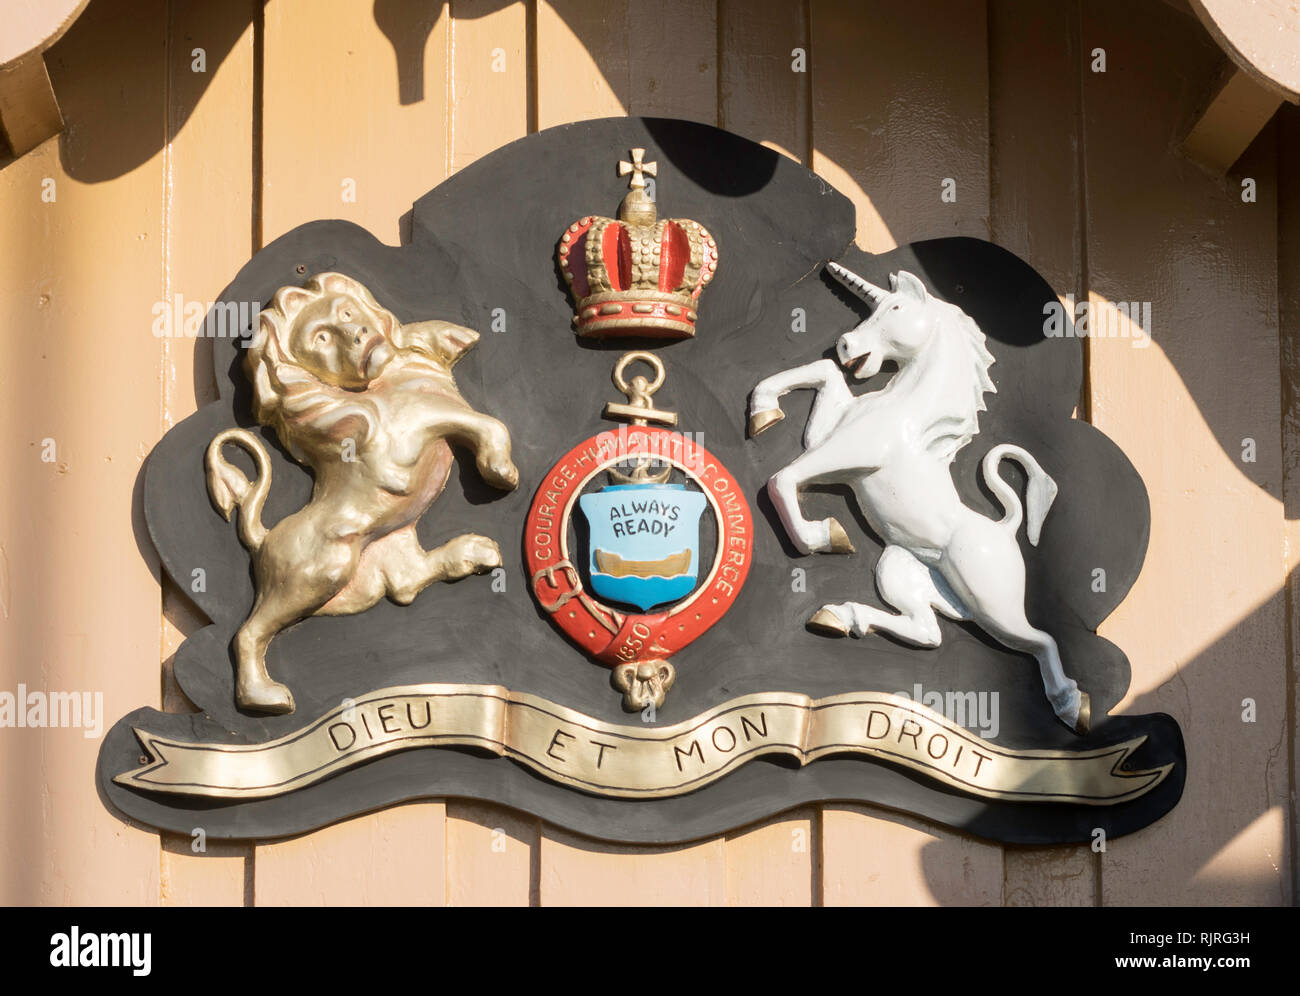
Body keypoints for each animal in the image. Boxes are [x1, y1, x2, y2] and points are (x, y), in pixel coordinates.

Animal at [202, 269, 517, 712]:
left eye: (348, 313)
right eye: (322, 338)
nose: (358, 334)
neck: (388, 379)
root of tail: (264, 539)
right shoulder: (409, 432)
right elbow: (487, 423)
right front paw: (500, 470)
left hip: (389, 545)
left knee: (406, 584)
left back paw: (475, 552)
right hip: (319, 573)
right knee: (248, 633)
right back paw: (264, 697)